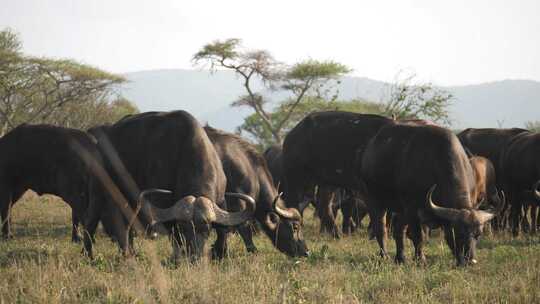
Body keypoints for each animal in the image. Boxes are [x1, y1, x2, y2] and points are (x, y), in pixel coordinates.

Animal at [87, 110, 253, 260]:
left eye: (206, 227)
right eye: (184, 227)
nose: (194, 255)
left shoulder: (221, 200)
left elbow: (223, 231)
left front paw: (220, 253)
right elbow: (174, 235)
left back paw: (130, 253)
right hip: (101, 192)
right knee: (97, 222)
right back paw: (93, 255)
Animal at [360, 122, 496, 264]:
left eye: (478, 235)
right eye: (459, 233)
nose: (470, 260)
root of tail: (370, 147)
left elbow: (443, 237)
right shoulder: (412, 208)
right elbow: (418, 236)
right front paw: (421, 259)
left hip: (401, 209)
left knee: (398, 229)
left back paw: (400, 258)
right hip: (374, 201)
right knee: (381, 229)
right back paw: (385, 256)